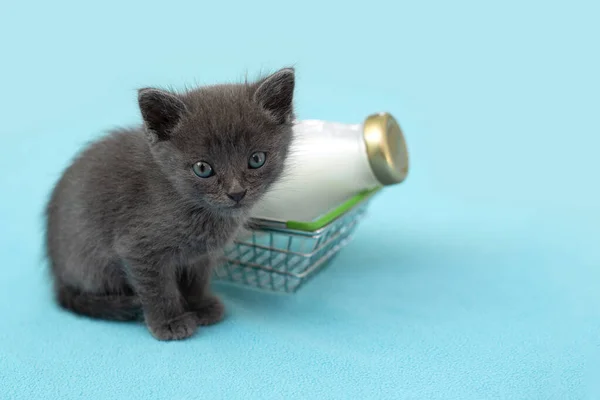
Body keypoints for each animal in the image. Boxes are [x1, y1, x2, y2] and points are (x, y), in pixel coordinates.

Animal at [44, 67, 296, 340]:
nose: (237, 192)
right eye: (203, 169)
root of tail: (56, 274)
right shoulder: (138, 248)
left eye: (257, 159)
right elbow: (157, 288)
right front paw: (170, 321)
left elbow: (197, 280)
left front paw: (199, 306)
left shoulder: (200, 255)